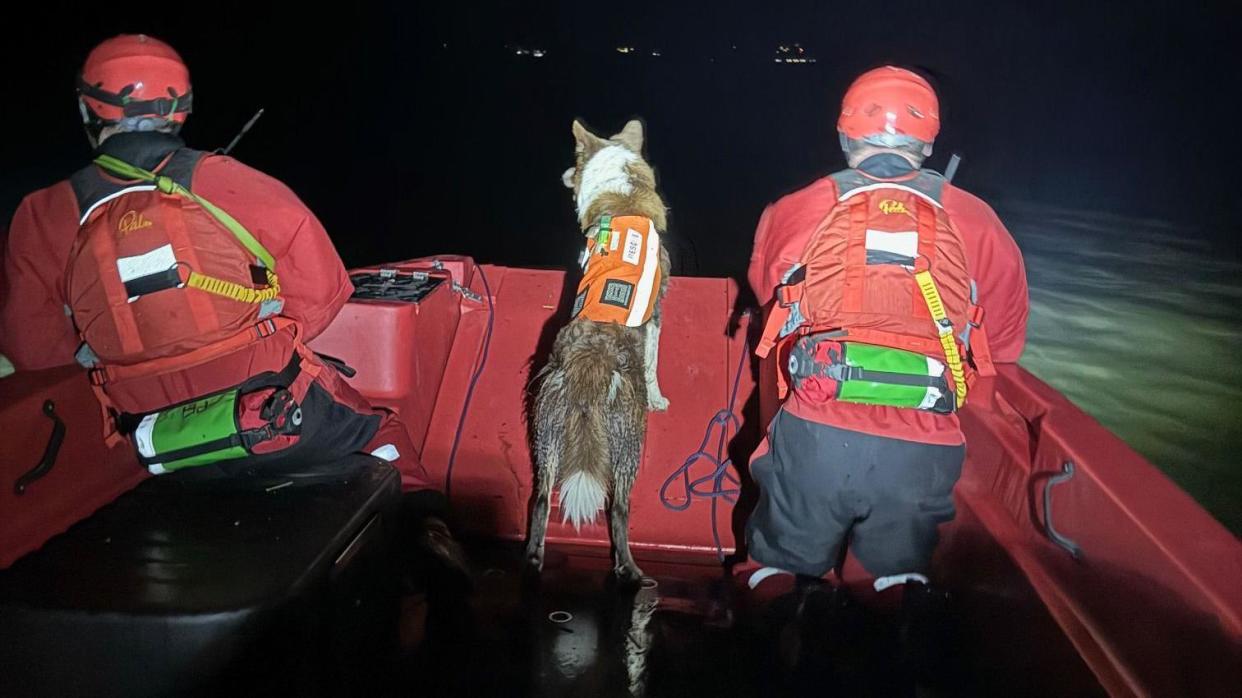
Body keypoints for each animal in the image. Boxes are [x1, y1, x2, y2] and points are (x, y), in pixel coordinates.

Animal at [529, 121, 675, 581]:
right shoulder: (657, 314)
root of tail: (590, 363)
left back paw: (534, 562)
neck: (624, 192)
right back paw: (631, 573)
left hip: (546, 433)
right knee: (620, 509)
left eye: (574, 160)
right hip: (628, 443)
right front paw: (660, 398)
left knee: (541, 500)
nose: (560, 175)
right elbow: (654, 364)